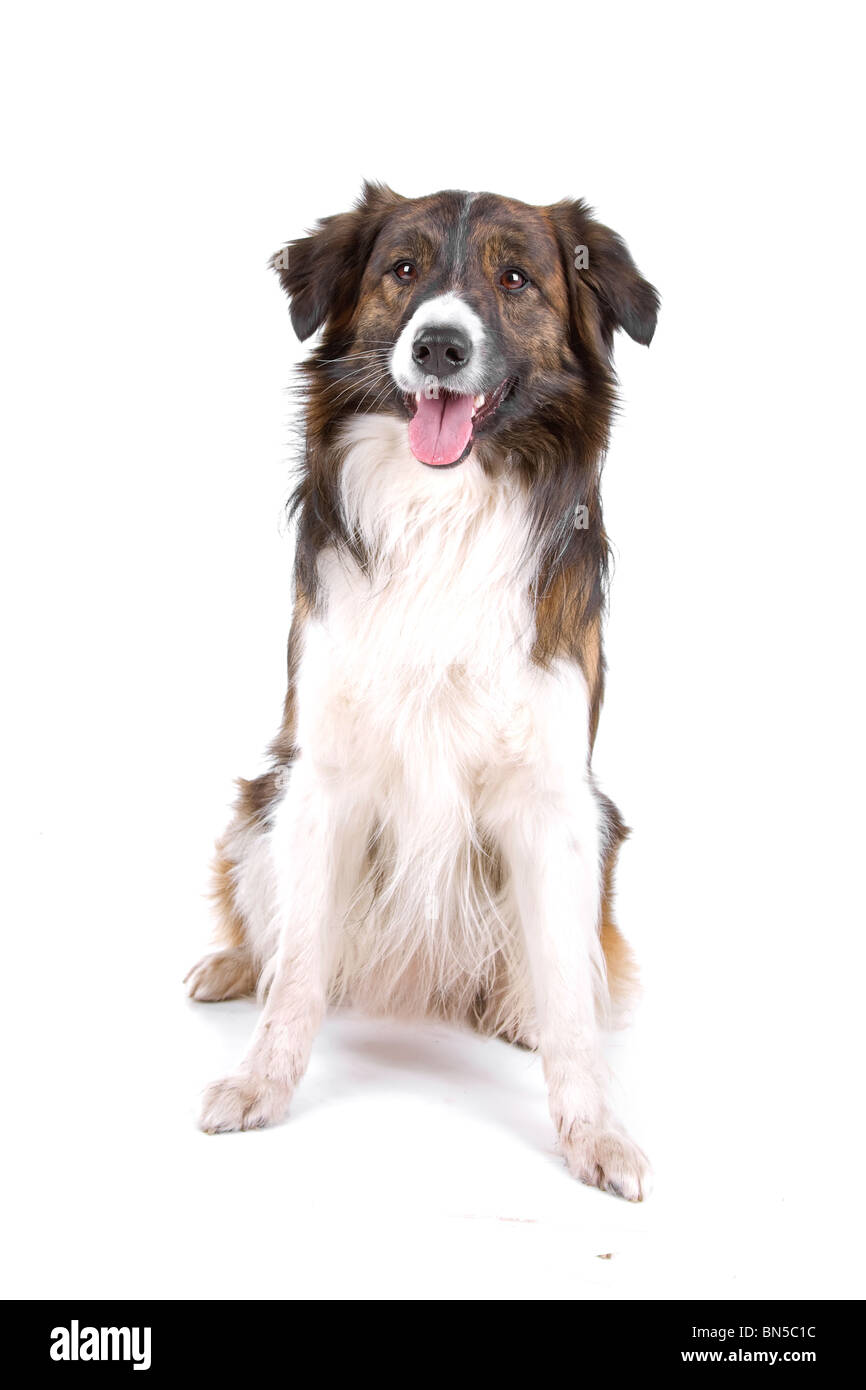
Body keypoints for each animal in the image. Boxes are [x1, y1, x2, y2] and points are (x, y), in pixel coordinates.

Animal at [186, 182, 661, 1195]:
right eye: (402, 270)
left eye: (515, 279)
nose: (438, 345)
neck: (445, 506)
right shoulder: (321, 775)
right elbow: (300, 970)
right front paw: (260, 1081)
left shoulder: (556, 798)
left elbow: (572, 1001)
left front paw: (596, 1131)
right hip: (261, 802)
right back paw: (231, 967)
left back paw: (514, 1012)